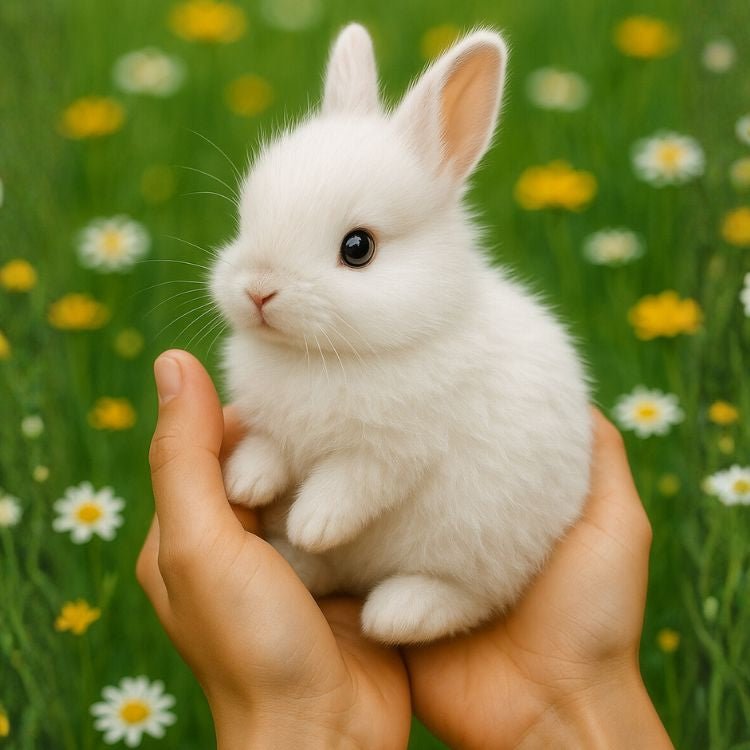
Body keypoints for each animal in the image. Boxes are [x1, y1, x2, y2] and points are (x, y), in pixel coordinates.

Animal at [210, 23, 592, 644]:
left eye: (357, 248)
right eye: (246, 219)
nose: (258, 290)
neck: (325, 356)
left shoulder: (391, 454)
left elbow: (349, 485)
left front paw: (313, 522)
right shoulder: (276, 427)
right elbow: (269, 450)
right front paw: (244, 483)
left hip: (482, 547)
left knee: (469, 598)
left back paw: (395, 611)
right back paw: (297, 560)